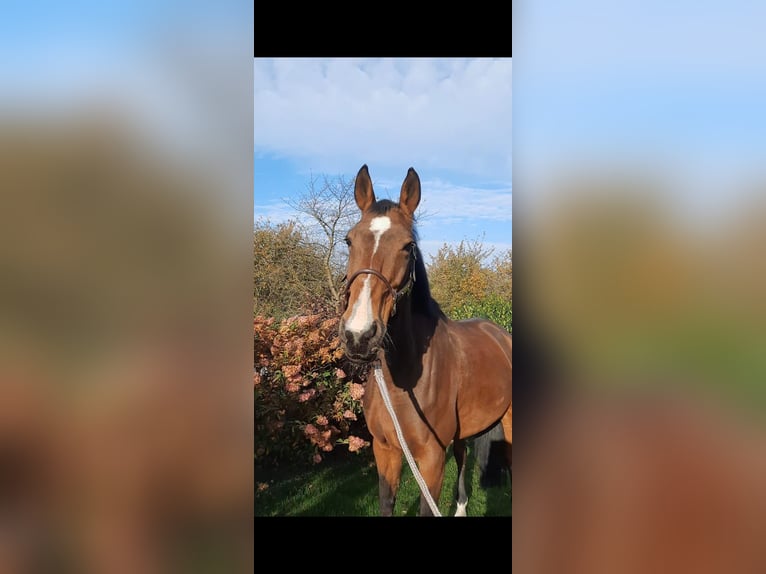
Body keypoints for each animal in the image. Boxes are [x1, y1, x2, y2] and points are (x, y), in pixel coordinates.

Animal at [340, 163, 512, 516]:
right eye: (349, 240)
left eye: (408, 246)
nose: (359, 335)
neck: (402, 381)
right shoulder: (386, 451)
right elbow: (387, 504)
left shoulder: (431, 460)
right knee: (462, 459)